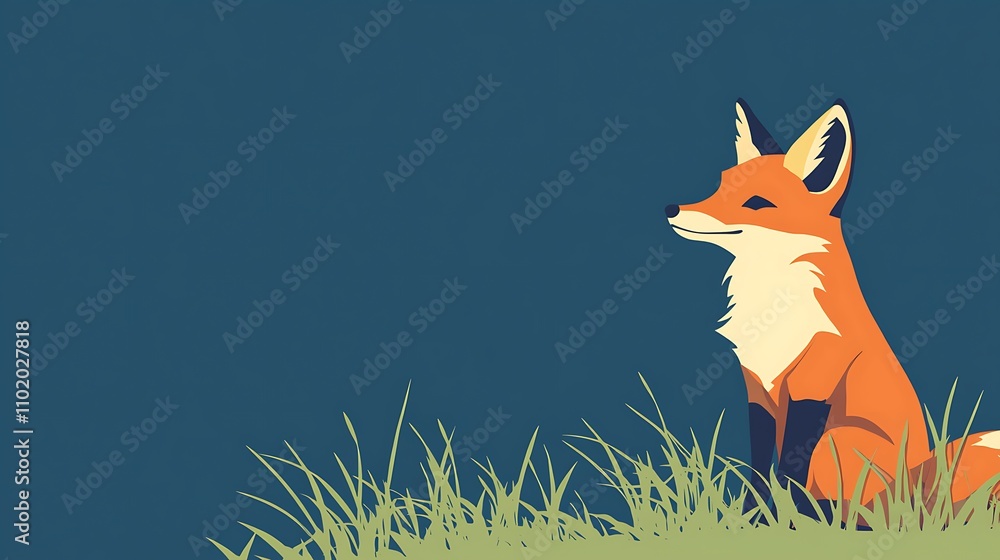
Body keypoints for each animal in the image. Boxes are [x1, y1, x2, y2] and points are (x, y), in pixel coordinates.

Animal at [664, 98, 1000, 523]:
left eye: (756, 203)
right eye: (721, 185)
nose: (671, 208)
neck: (774, 315)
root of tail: (918, 486)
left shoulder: (813, 383)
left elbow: (789, 471)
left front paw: (783, 524)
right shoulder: (756, 389)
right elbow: (759, 472)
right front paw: (751, 521)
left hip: (836, 440)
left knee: (860, 513)